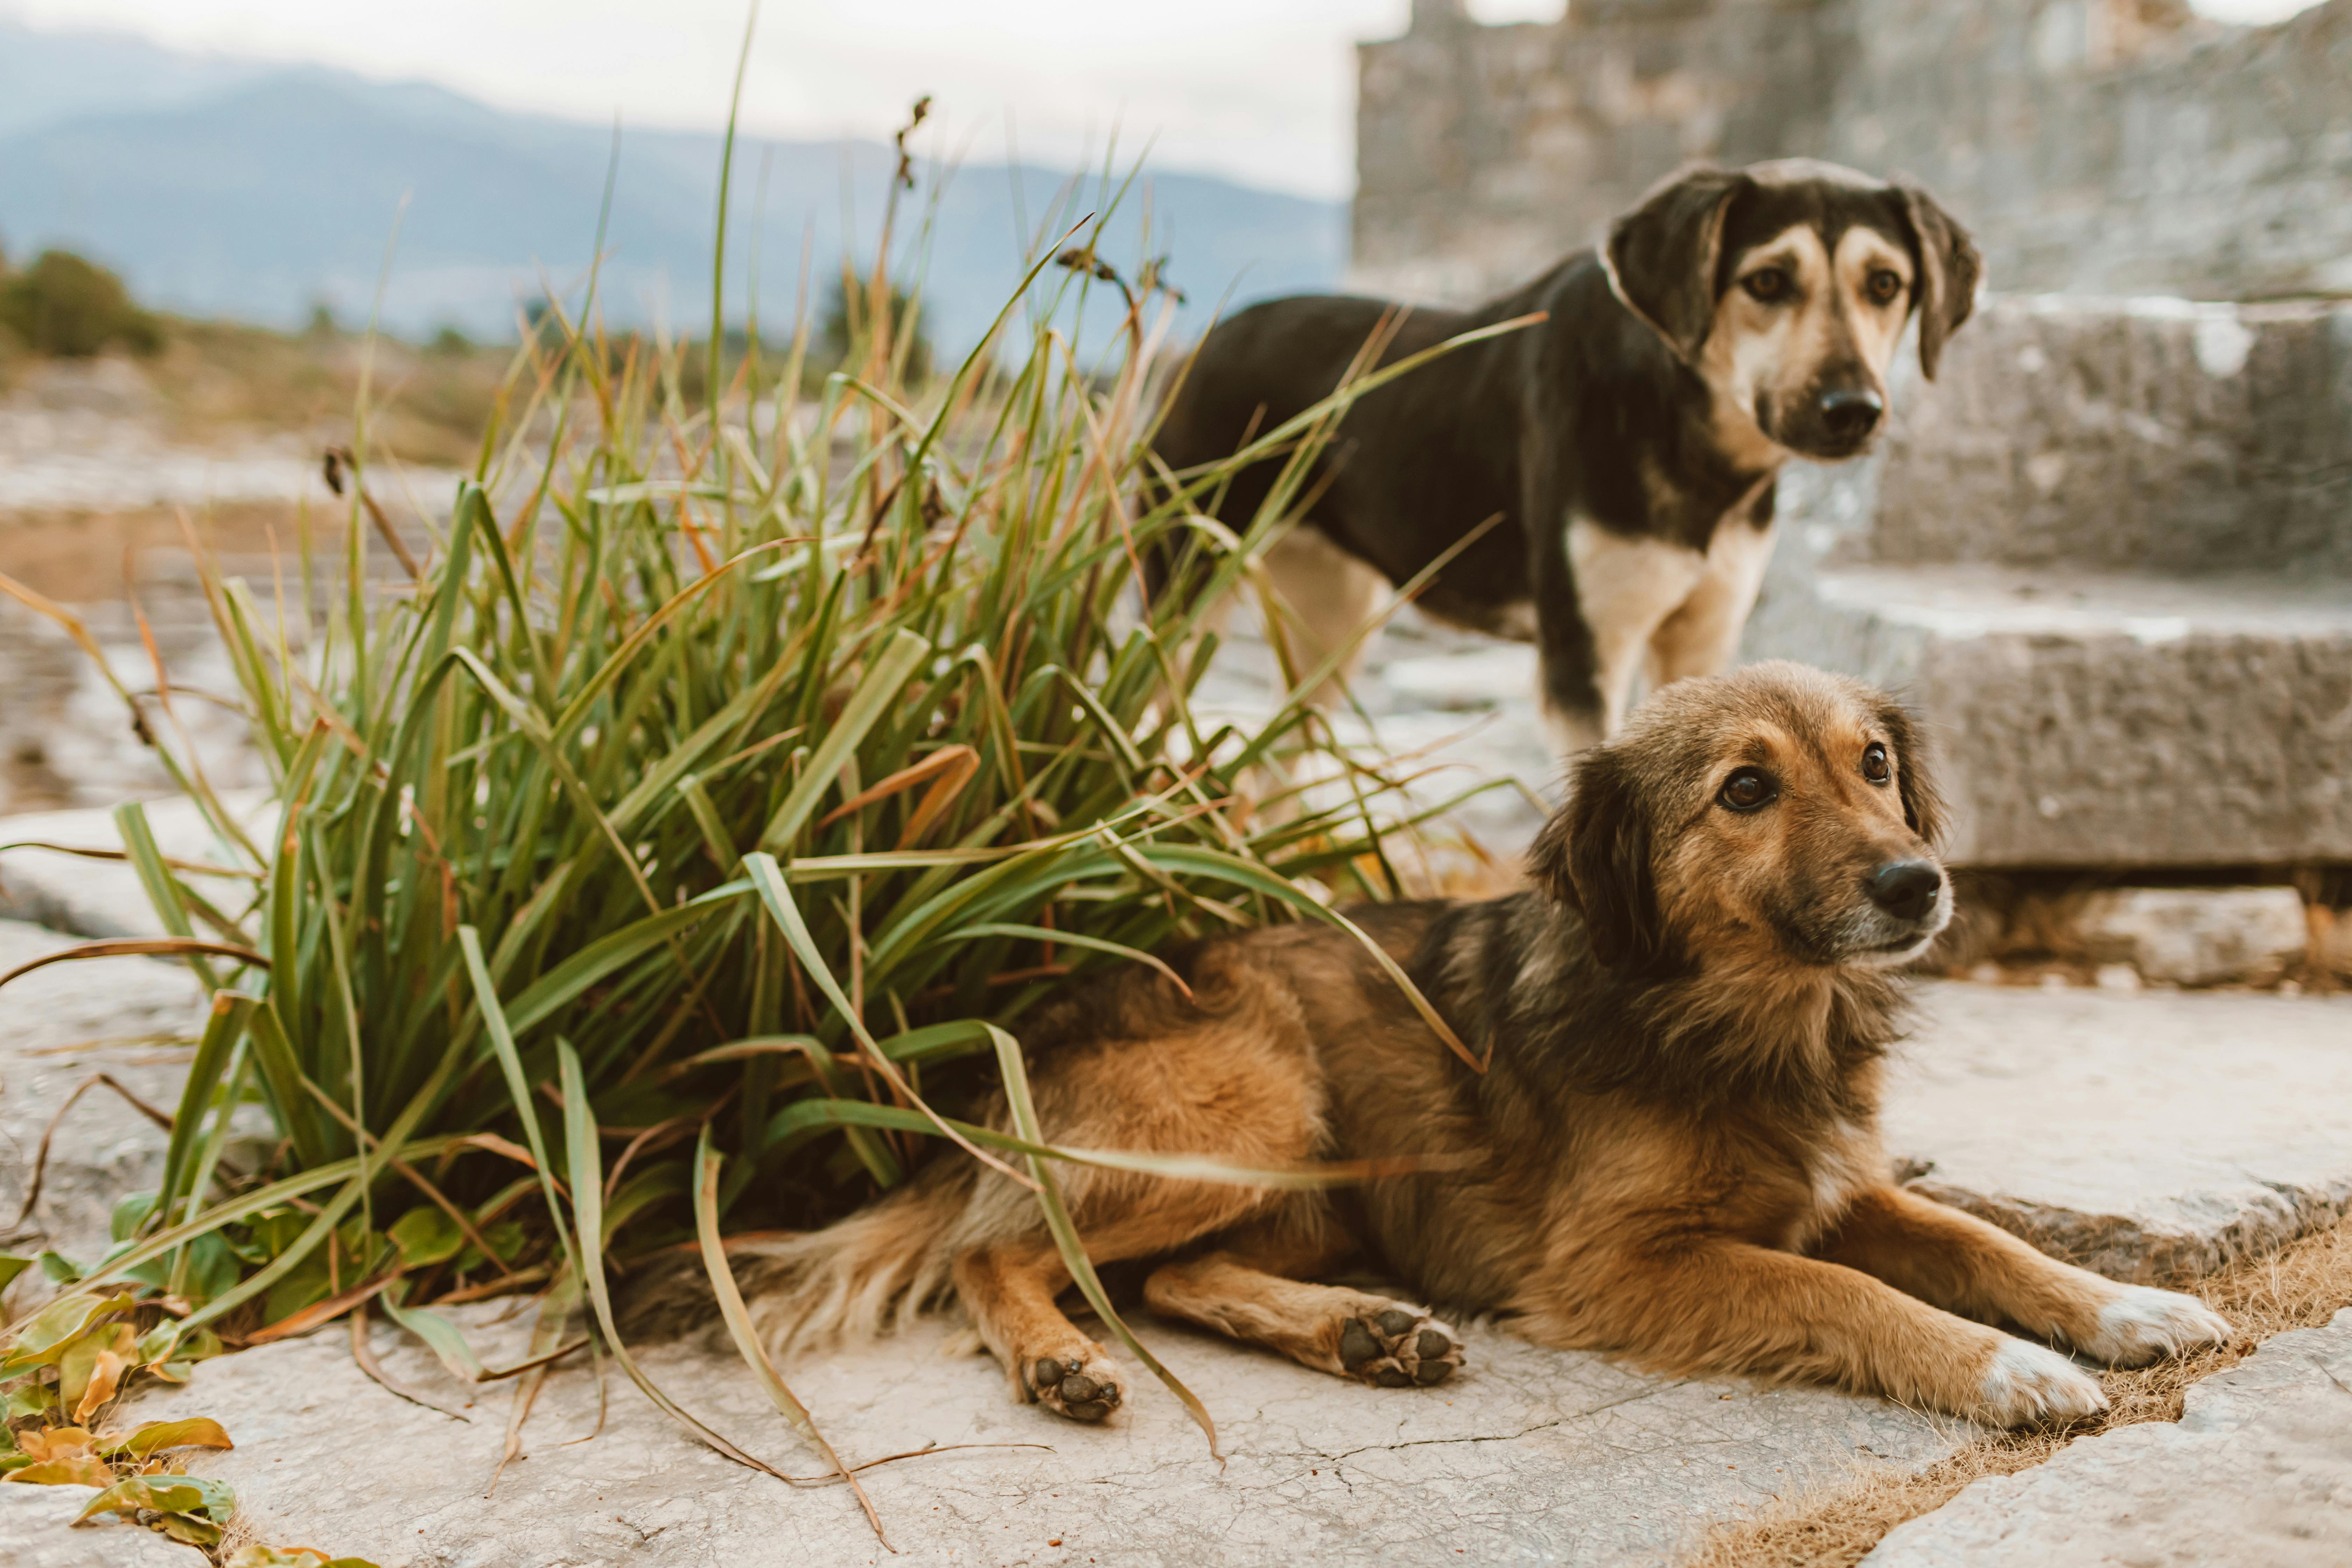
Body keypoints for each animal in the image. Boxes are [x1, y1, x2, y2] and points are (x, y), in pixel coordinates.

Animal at [635, 663, 2230, 1438]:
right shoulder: (1625, 1261)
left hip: (1317, 1175)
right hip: (1256, 1106)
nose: (1918, 886)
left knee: (1175, 1278)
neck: (1744, 1022)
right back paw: (1061, 1362)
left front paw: (2120, 1307)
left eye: (1877, 765)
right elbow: (1848, 1294)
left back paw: (1363, 1333)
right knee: (1009, 1254)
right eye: (1745, 790)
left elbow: (1980, 1240)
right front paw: (2005, 1373)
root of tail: (1044, 1026)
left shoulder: (1835, 1182)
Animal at [1148, 158, 1975, 752]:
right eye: (1767, 281)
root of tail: (1204, 344)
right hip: (1184, 600)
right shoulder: (1585, 661)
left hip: (1330, 624)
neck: (1693, 443)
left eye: (1886, 284)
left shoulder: (1704, 641)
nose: (1853, 411)